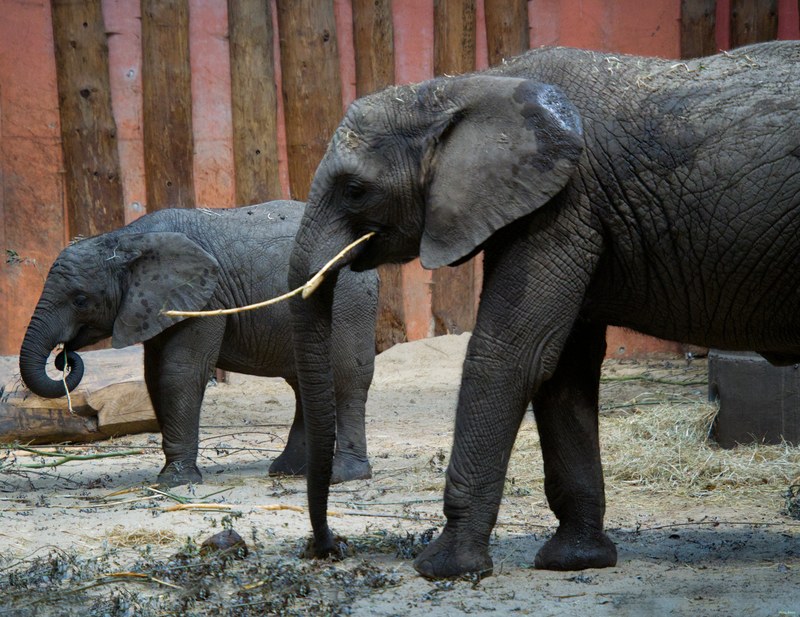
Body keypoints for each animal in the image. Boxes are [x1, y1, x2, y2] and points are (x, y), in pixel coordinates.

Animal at [20, 201, 378, 487]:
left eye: (80, 300)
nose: (64, 357)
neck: (126, 237)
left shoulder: (205, 300)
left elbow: (181, 373)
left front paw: (175, 482)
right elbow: (154, 377)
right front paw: (171, 475)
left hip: (349, 297)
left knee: (346, 377)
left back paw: (344, 476)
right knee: (308, 380)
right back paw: (291, 472)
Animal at [287, 41, 800, 579]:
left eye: (355, 190)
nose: (331, 546)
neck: (464, 87)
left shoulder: (564, 205)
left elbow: (512, 354)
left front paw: (444, 567)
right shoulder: (566, 210)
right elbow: (563, 369)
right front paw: (575, 561)